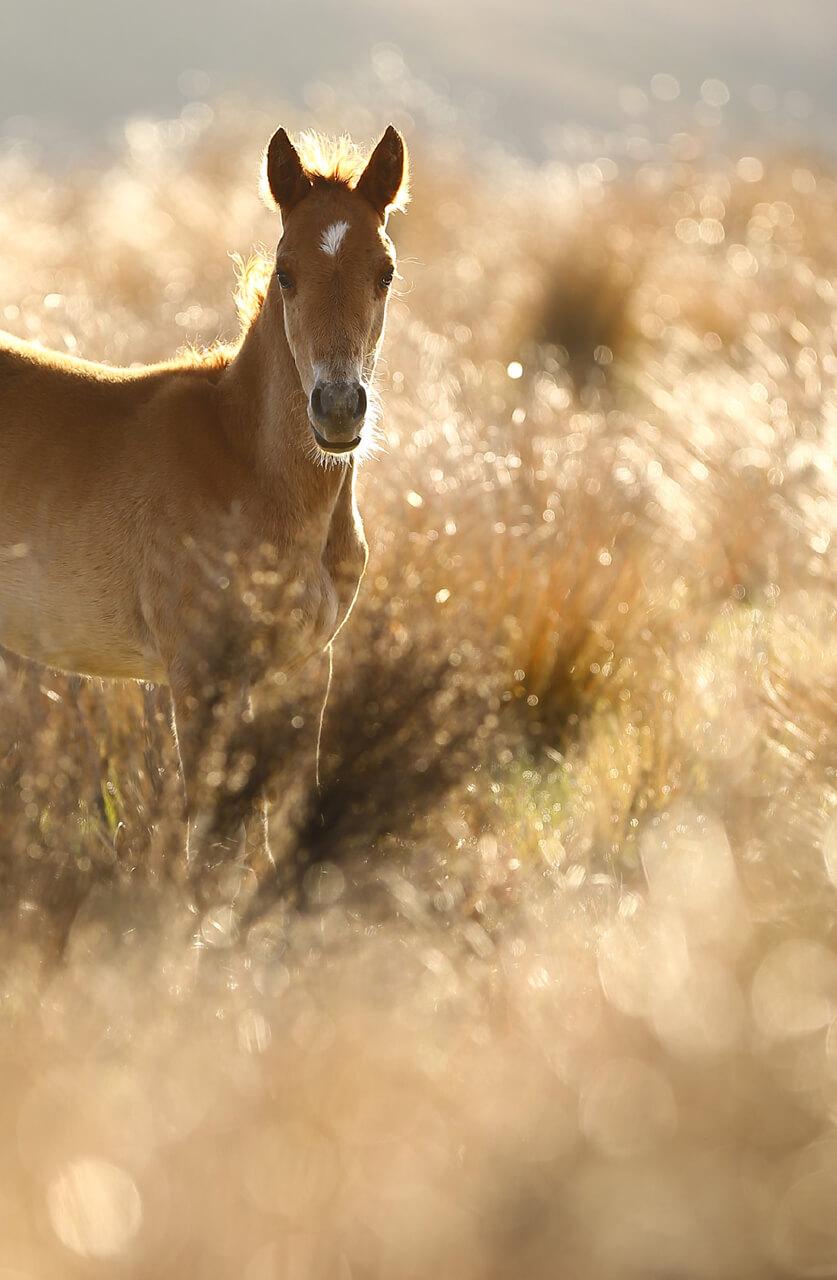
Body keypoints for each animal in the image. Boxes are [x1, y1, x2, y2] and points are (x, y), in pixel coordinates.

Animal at [0, 124, 409, 865]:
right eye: (285, 272)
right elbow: (214, 845)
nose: (338, 410)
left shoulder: (305, 669)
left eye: (384, 272)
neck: (251, 475)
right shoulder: (199, 677)